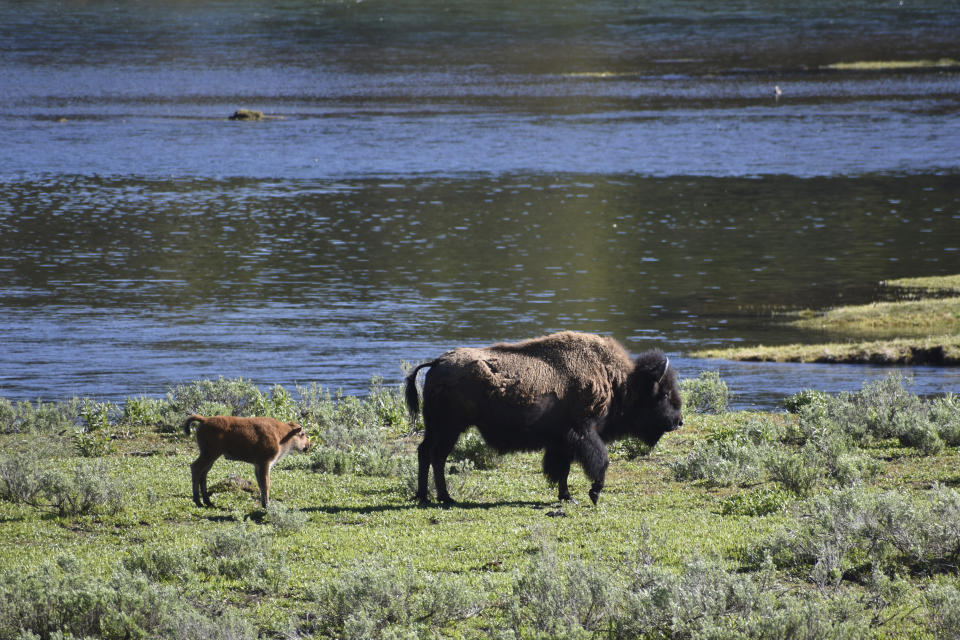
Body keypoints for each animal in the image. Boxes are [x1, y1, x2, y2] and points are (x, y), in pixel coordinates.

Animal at [181, 416, 312, 510]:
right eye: (303, 434)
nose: (308, 445)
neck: (283, 434)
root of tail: (204, 419)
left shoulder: (258, 466)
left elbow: (261, 484)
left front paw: (264, 504)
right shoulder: (265, 463)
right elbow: (266, 484)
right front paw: (267, 505)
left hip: (212, 457)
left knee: (203, 473)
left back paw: (208, 502)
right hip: (209, 454)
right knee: (195, 468)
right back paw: (198, 502)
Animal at [404, 330, 684, 504]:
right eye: (664, 393)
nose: (678, 421)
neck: (618, 381)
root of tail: (437, 363)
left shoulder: (562, 441)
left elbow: (563, 469)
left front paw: (567, 497)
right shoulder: (583, 433)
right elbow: (599, 461)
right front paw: (593, 493)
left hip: (439, 428)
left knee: (426, 453)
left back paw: (428, 496)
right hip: (449, 428)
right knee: (436, 456)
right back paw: (441, 497)